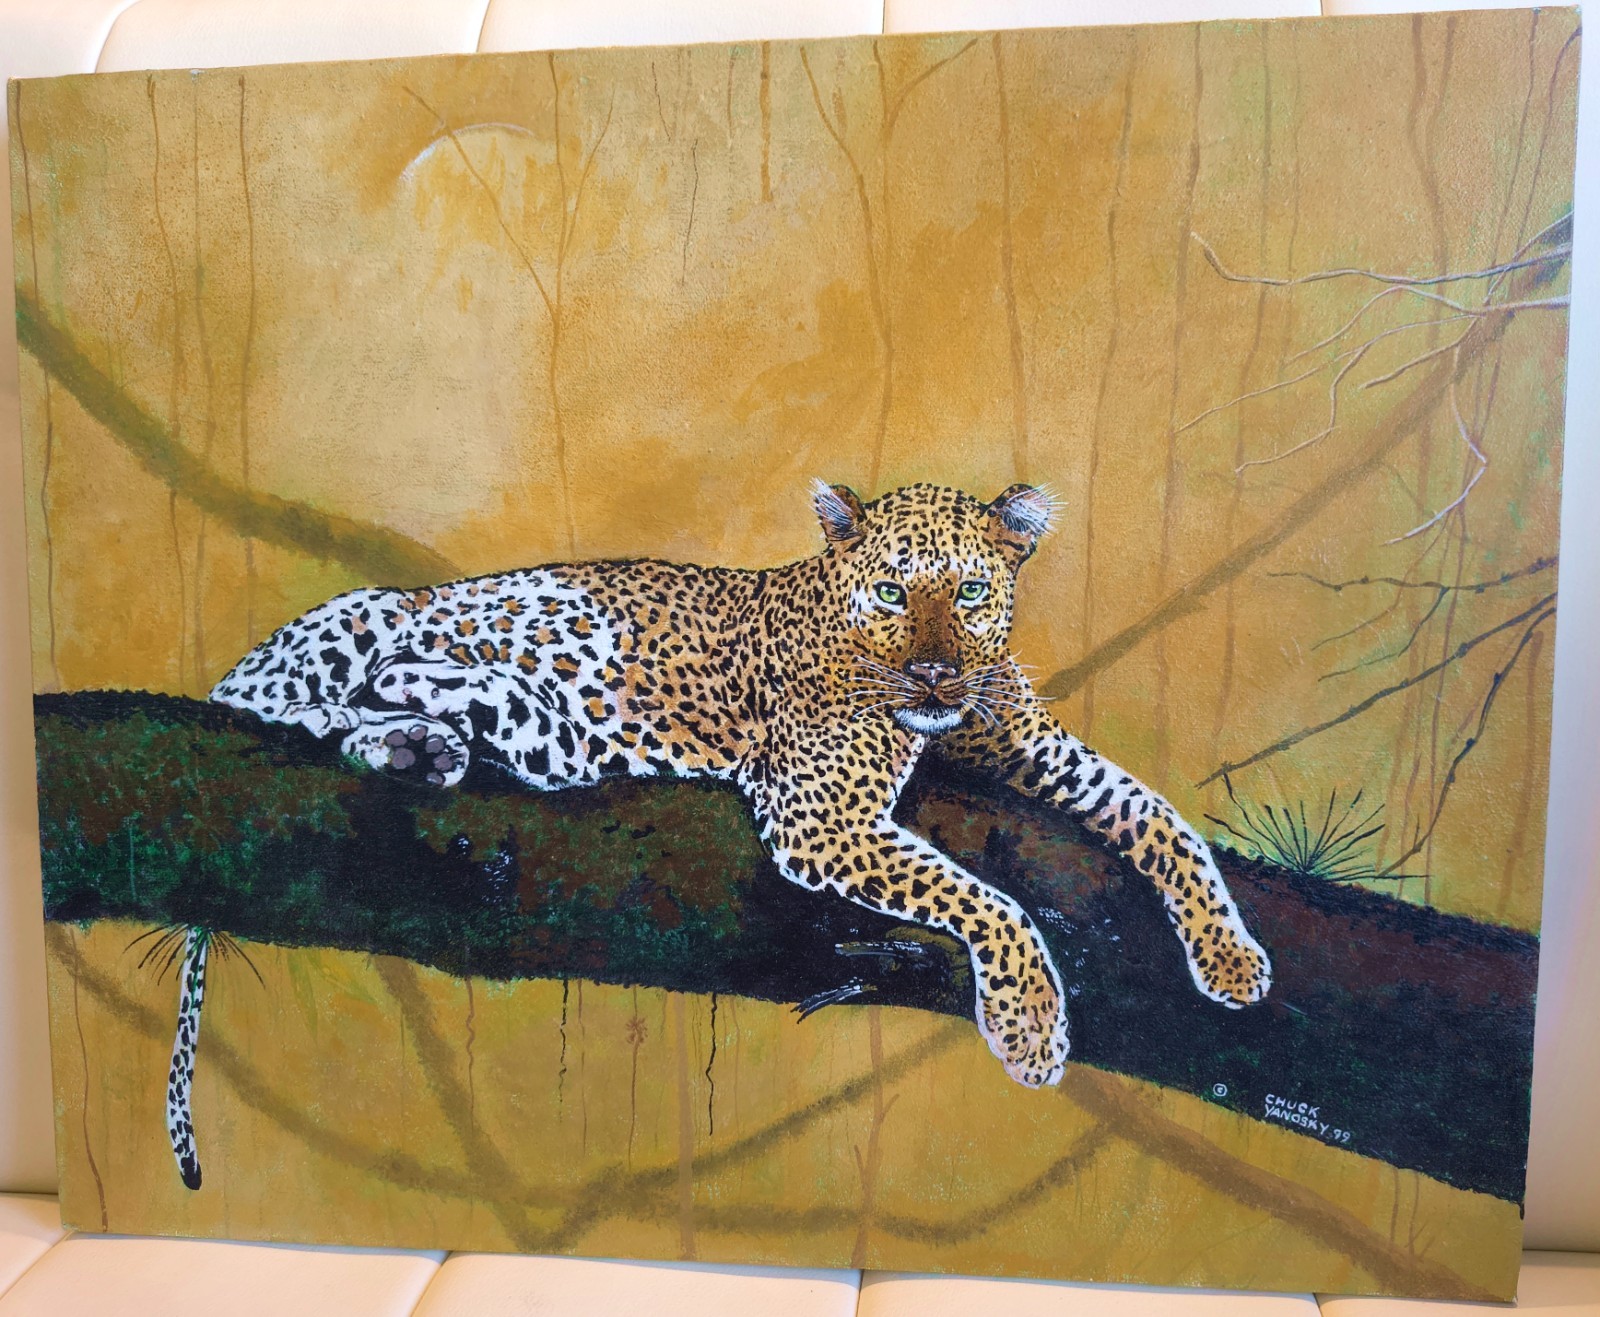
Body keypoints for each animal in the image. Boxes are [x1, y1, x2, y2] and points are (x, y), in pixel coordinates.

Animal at [210, 480, 1272, 1091]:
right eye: (892, 591)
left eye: (971, 592)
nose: (935, 676)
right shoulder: (821, 816)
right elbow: (991, 900)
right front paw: (1029, 1028)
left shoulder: (1030, 745)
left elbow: (1159, 816)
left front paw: (1232, 959)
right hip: (366, 618)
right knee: (286, 700)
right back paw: (439, 711)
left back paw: (437, 732)